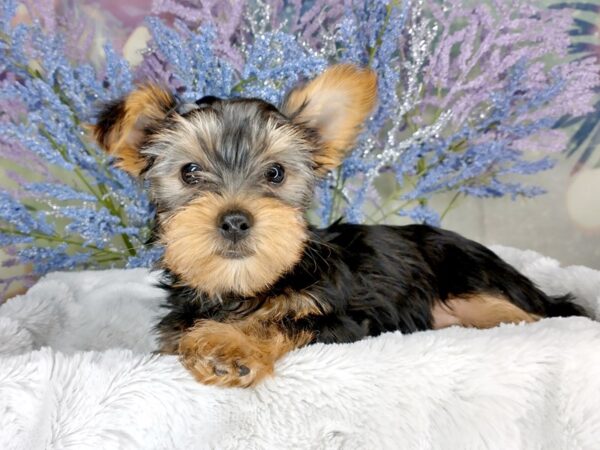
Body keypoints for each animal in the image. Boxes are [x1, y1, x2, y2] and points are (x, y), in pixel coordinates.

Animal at [92, 63, 584, 386]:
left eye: (276, 173)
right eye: (189, 172)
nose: (234, 219)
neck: (245, 287)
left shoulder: (347, 320)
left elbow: (283, 323)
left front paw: (230, 346)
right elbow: (179, 339)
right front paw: (212, 340)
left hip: (473, 287)